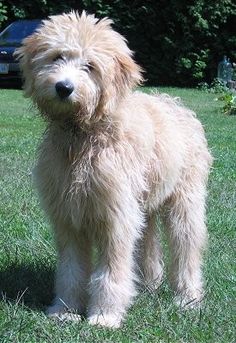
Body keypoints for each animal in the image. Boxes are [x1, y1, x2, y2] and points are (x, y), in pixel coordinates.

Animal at [14, 10, 212, 328]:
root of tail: (177, 104)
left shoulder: (116, 215)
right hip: (145, 204)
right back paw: (149, 285)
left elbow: (112, 269)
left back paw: (188, 298)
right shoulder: (68, 215)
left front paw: (105, 315)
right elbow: (71, 268)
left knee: (187, 247)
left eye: (90, 66)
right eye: (57, 57)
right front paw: (65, 309)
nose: (63, 88)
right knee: (148, 243)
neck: (84, 134)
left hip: (185, 201)